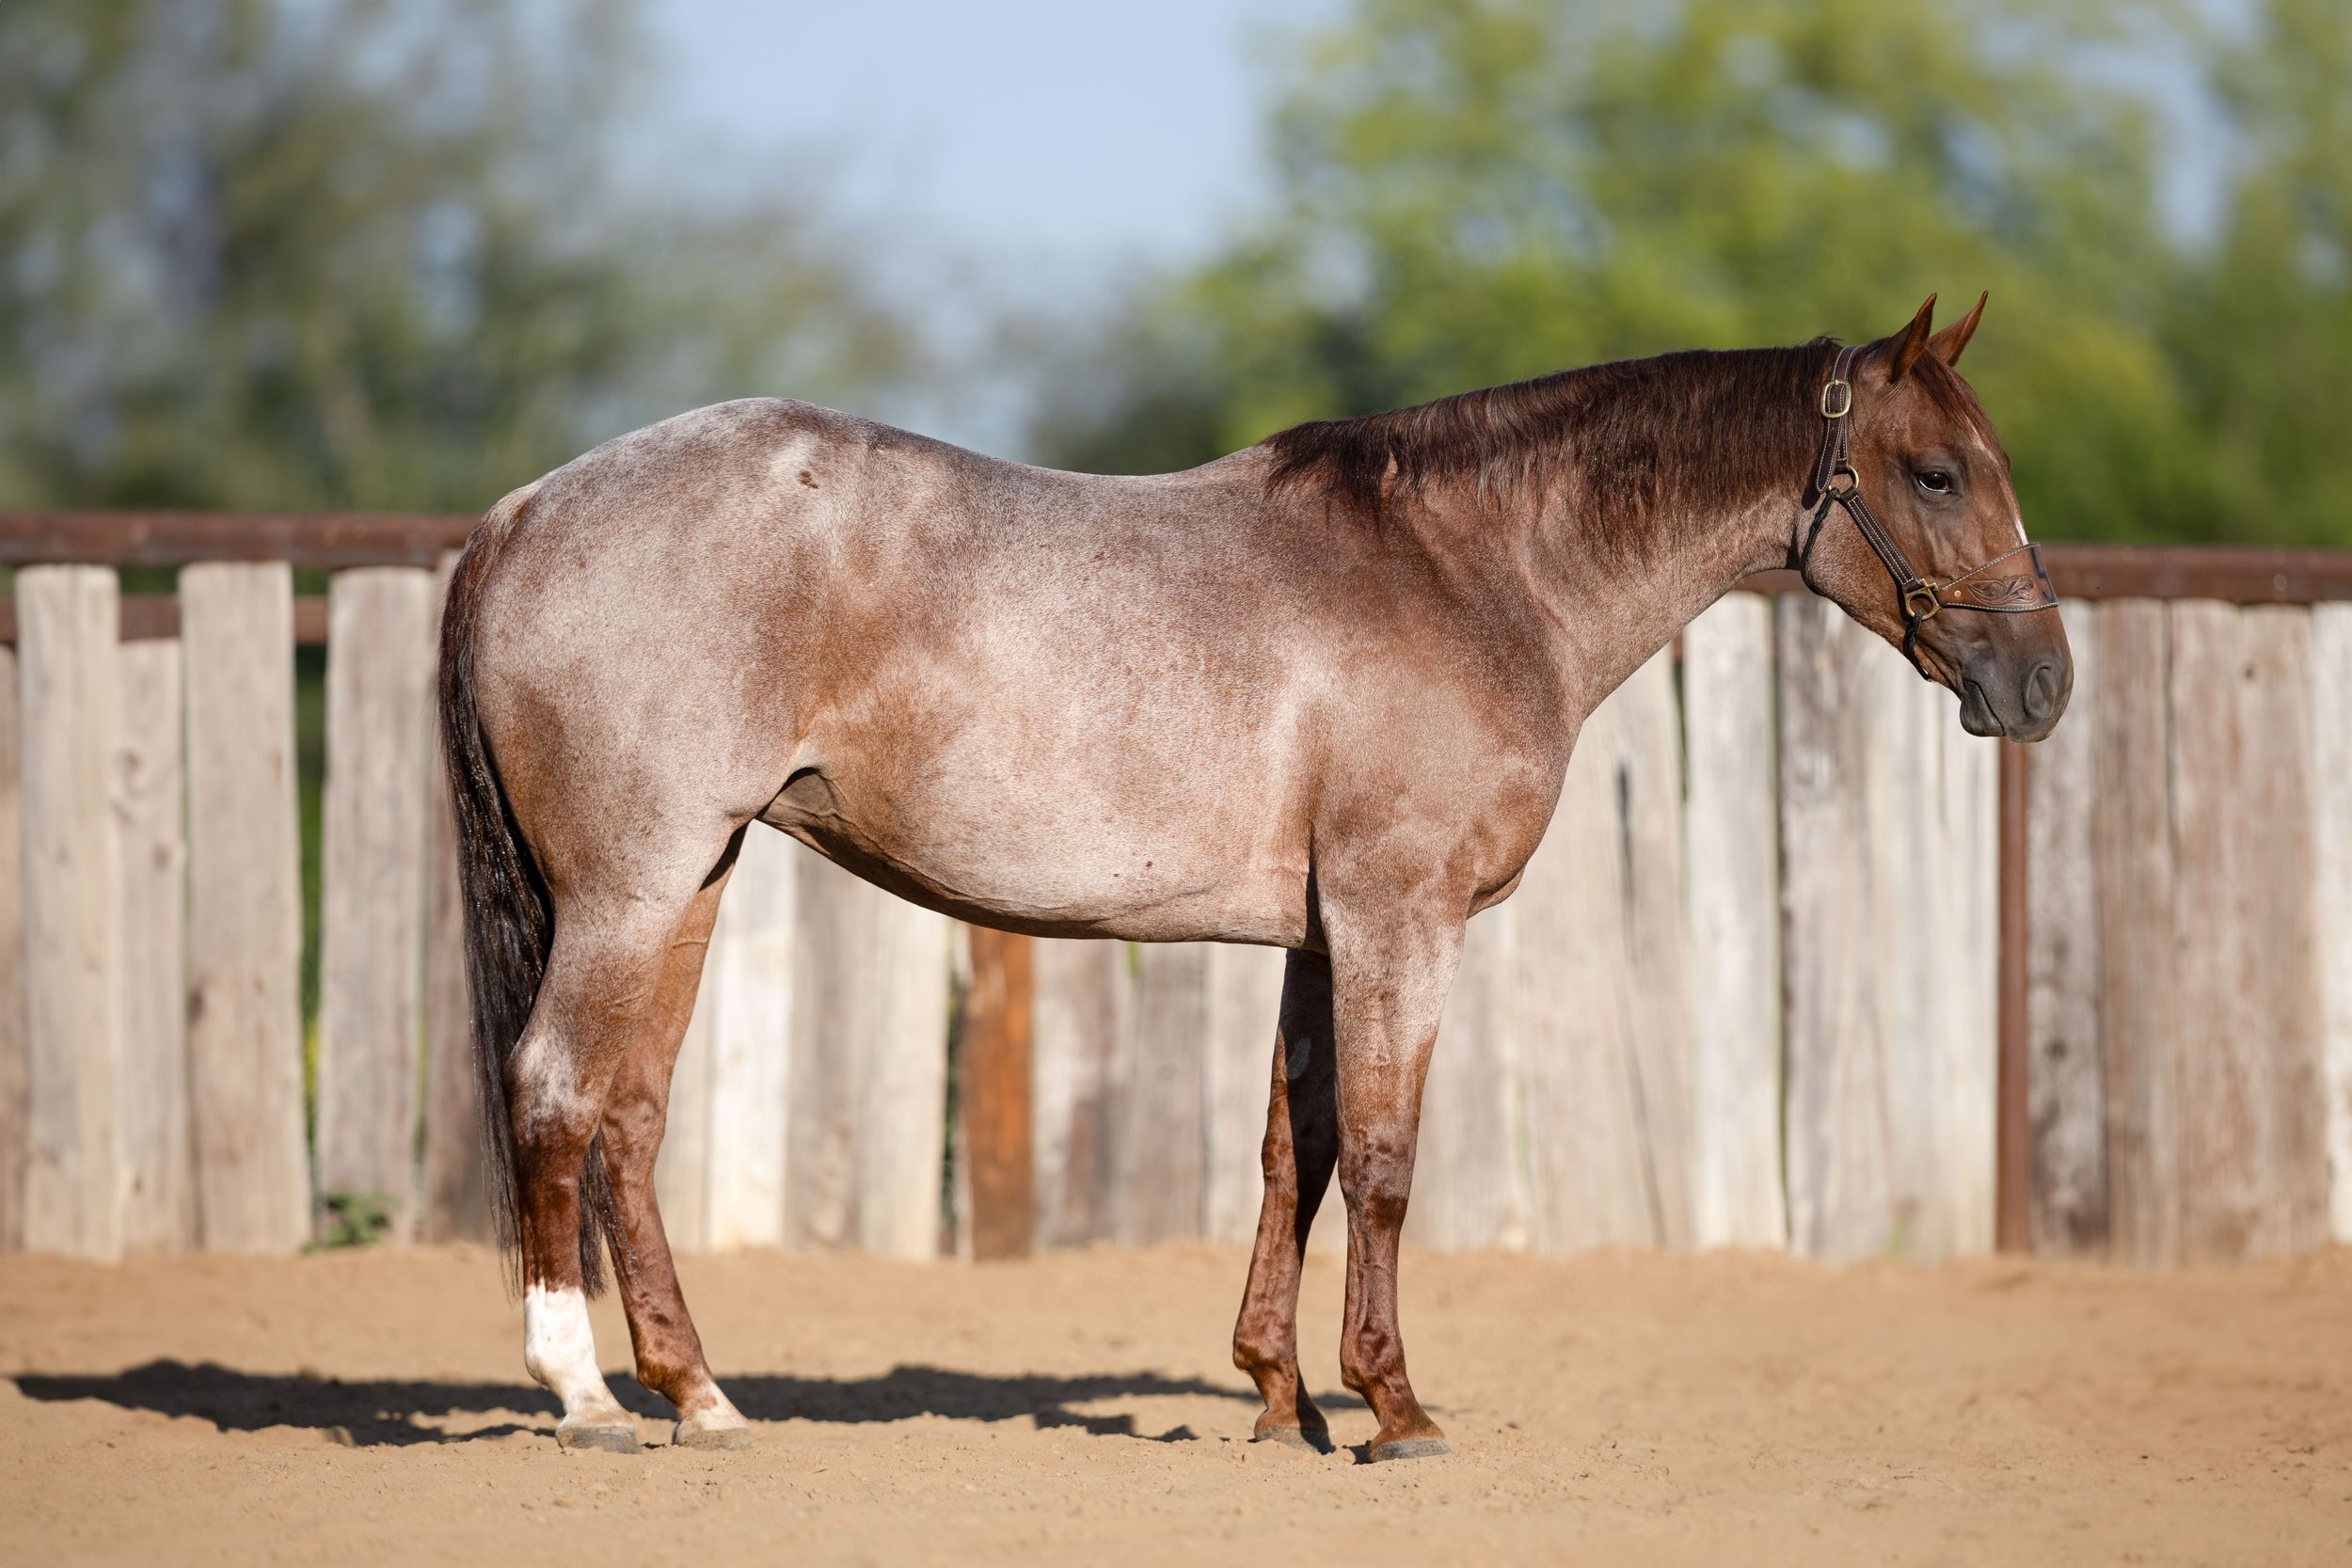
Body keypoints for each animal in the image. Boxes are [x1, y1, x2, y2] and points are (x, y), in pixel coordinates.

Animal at [438, 292, 2070, 1458]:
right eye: (1937, 471)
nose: (2045, 681)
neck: (1472, 571)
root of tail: (523, 511)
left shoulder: (1318, 933)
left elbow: (1304, 1146)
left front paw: (1283, 1396)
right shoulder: (1401, 917)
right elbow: (1391, 1161)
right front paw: (1395, 1407)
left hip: (690, 881)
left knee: (630, 1119)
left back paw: (702, 1392)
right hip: (634, 888)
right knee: (555, 1091)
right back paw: (582, 1394)